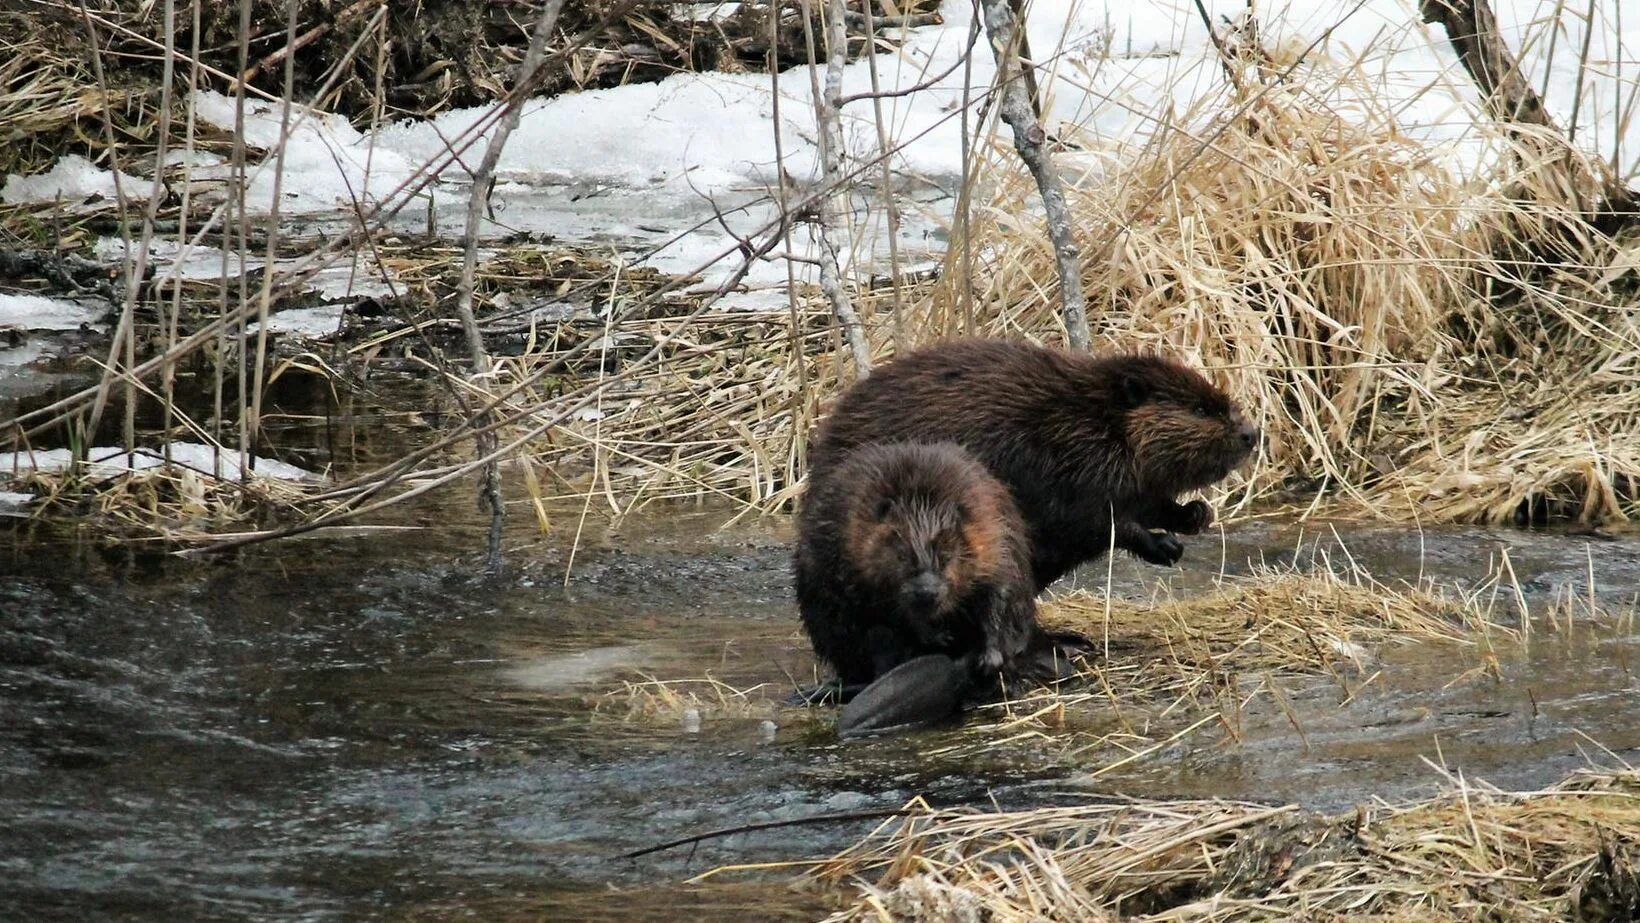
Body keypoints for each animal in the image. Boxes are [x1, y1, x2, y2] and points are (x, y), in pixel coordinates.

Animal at [793, 442, 1062, 701]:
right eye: (902, 556)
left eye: (946, 556)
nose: (927, 592)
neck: (923, 505)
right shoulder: (849, 548)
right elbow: (879, 607)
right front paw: (938, 635)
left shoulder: (994, 535)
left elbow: (999, 593)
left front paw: (990, 657)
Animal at [806, 339, 1252, 593]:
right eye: (1201, 409)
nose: (1251, 433)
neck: (1089, 418)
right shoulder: (1065, 460)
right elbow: (1096, 519)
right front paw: (1165, 546)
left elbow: (1146, 502)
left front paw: (1196, 513)